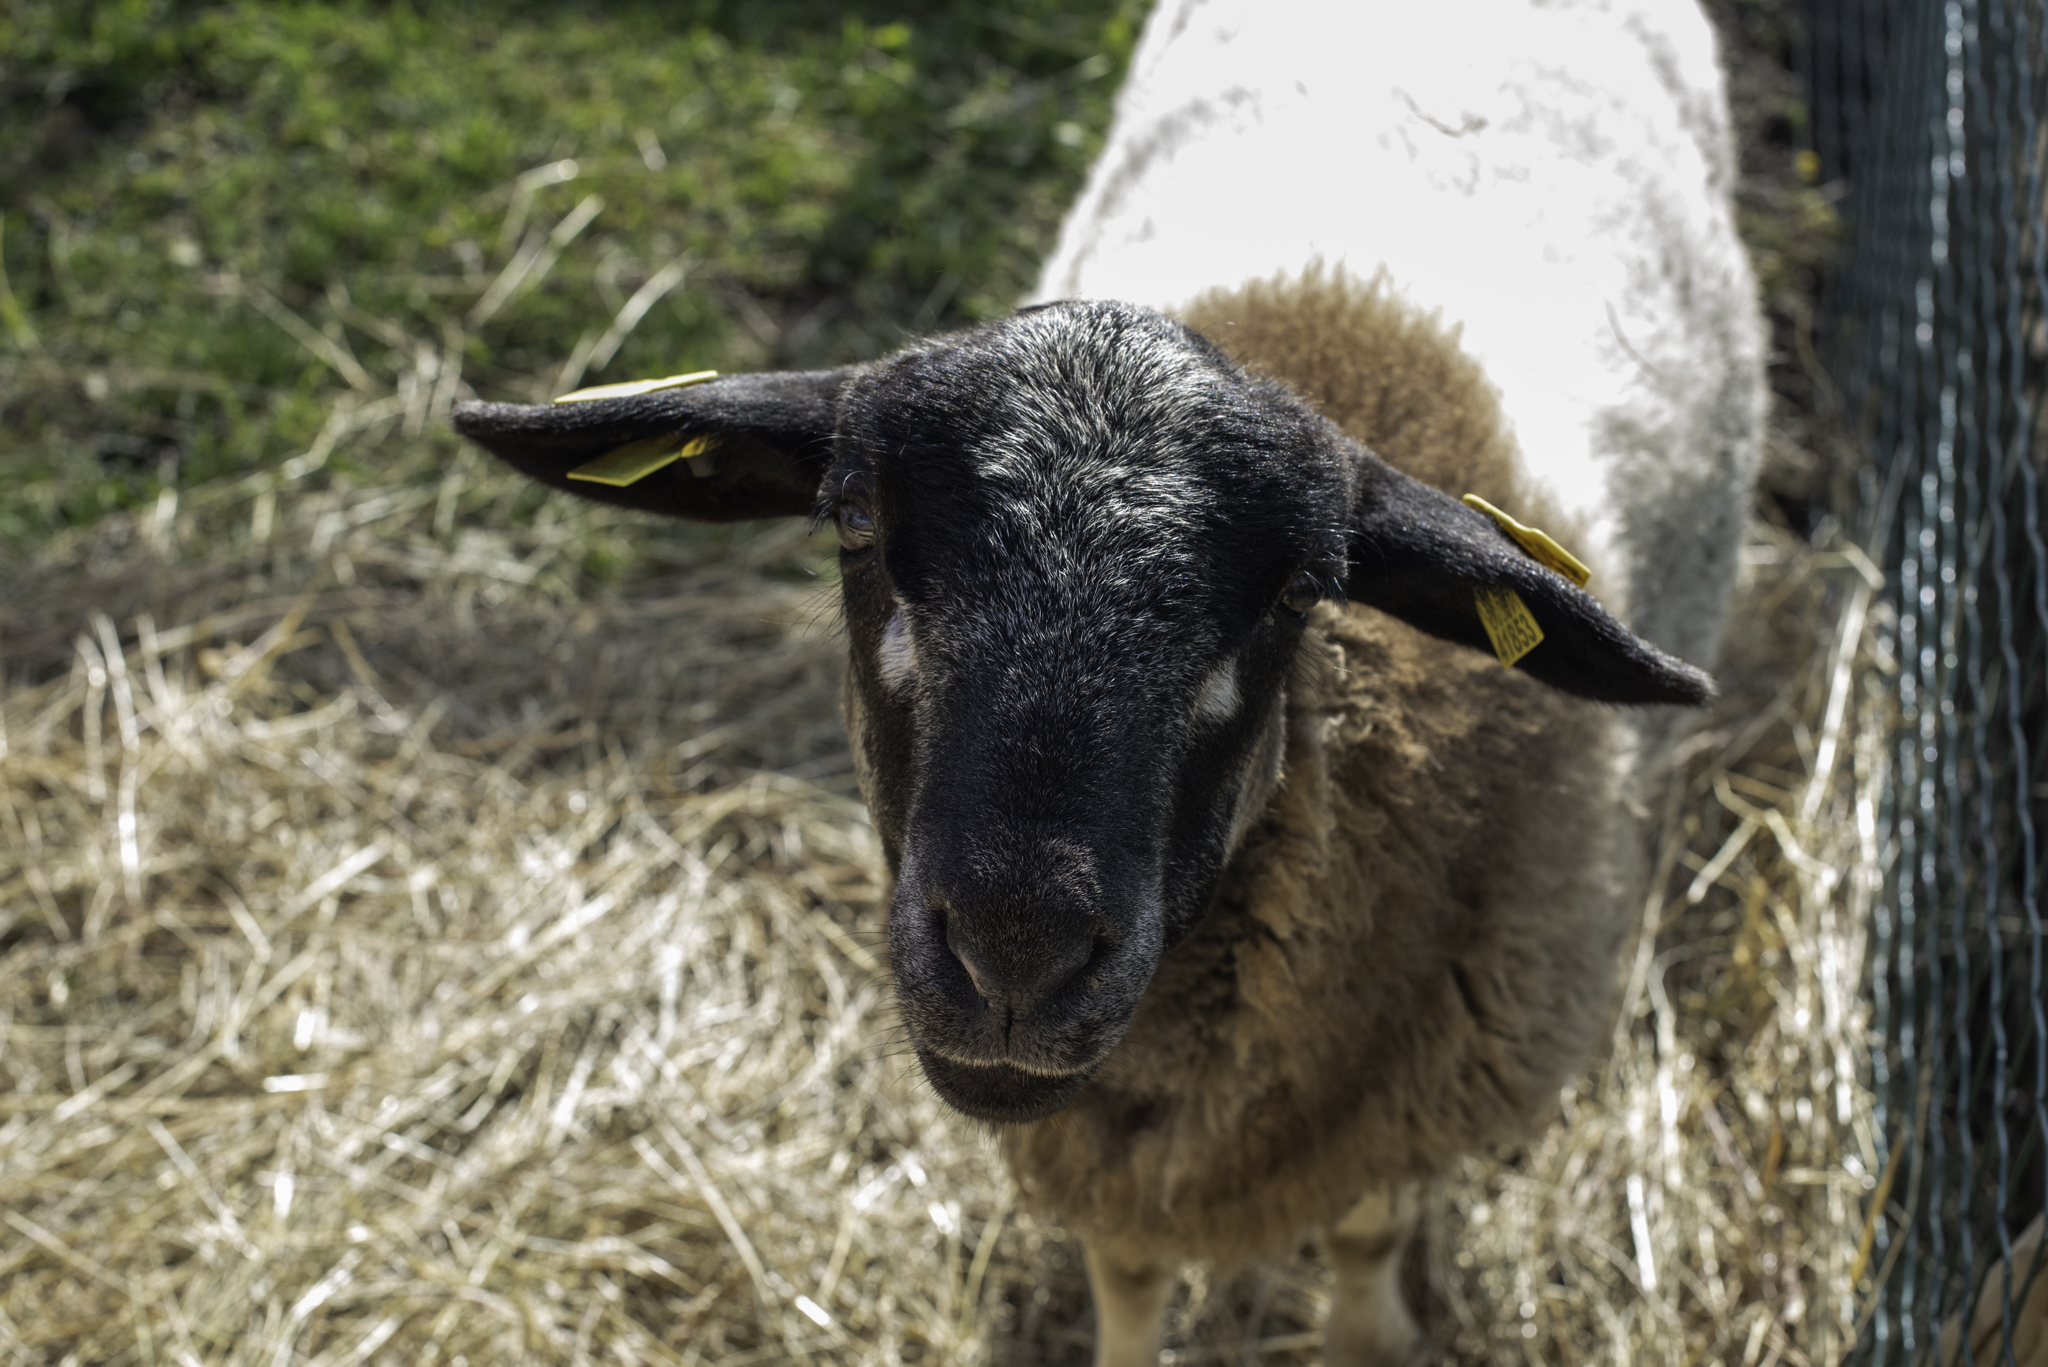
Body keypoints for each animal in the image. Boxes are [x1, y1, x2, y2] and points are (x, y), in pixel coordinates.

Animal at [448, 0, 1761, 1360]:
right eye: (854, 518)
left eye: (1302, 588)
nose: (1013, 955)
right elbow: (1125, 1272)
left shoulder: (1409, 1088)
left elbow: (1362, 1235)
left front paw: (1371, 1330)